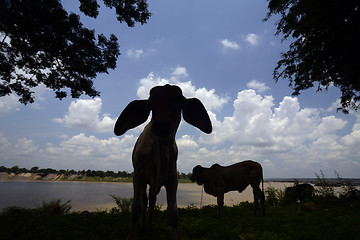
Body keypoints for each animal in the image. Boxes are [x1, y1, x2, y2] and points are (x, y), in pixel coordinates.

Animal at [114, 84, 212, 240]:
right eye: (151, 102)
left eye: (178, 100)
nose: (161, 125)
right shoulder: (138, 176)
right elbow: (136, 209)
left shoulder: (172, 178)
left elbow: (173, 214)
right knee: (145, 201)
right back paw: (144, 227)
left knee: (152, 200)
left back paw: (150, 227)